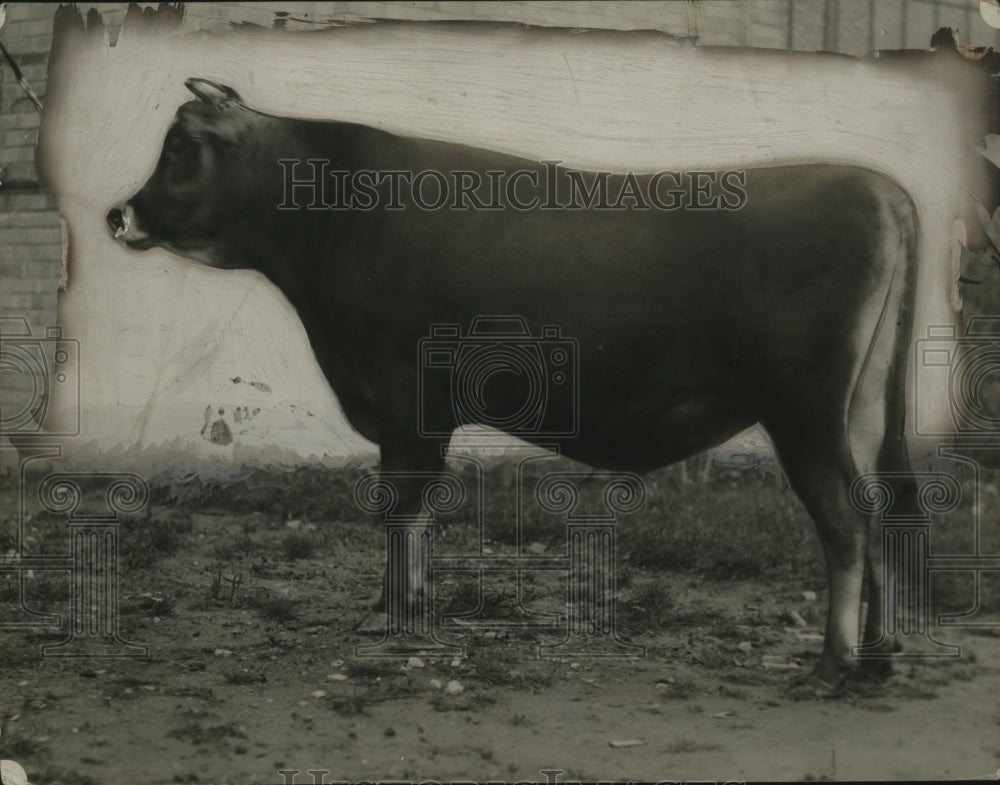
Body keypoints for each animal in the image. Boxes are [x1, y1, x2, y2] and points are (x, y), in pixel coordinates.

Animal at [107, 78, 922, 694]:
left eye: (180, 148)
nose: (119, 213)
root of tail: (881, 186)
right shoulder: (419, 410)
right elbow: (416, 512)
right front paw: (406, 604)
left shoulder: (403, 393)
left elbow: (400, 507)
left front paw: (391, 615)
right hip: (861, 410)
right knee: (882, 514)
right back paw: (879, 659)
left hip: (805, 408)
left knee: (846, 522)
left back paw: (831, 666)